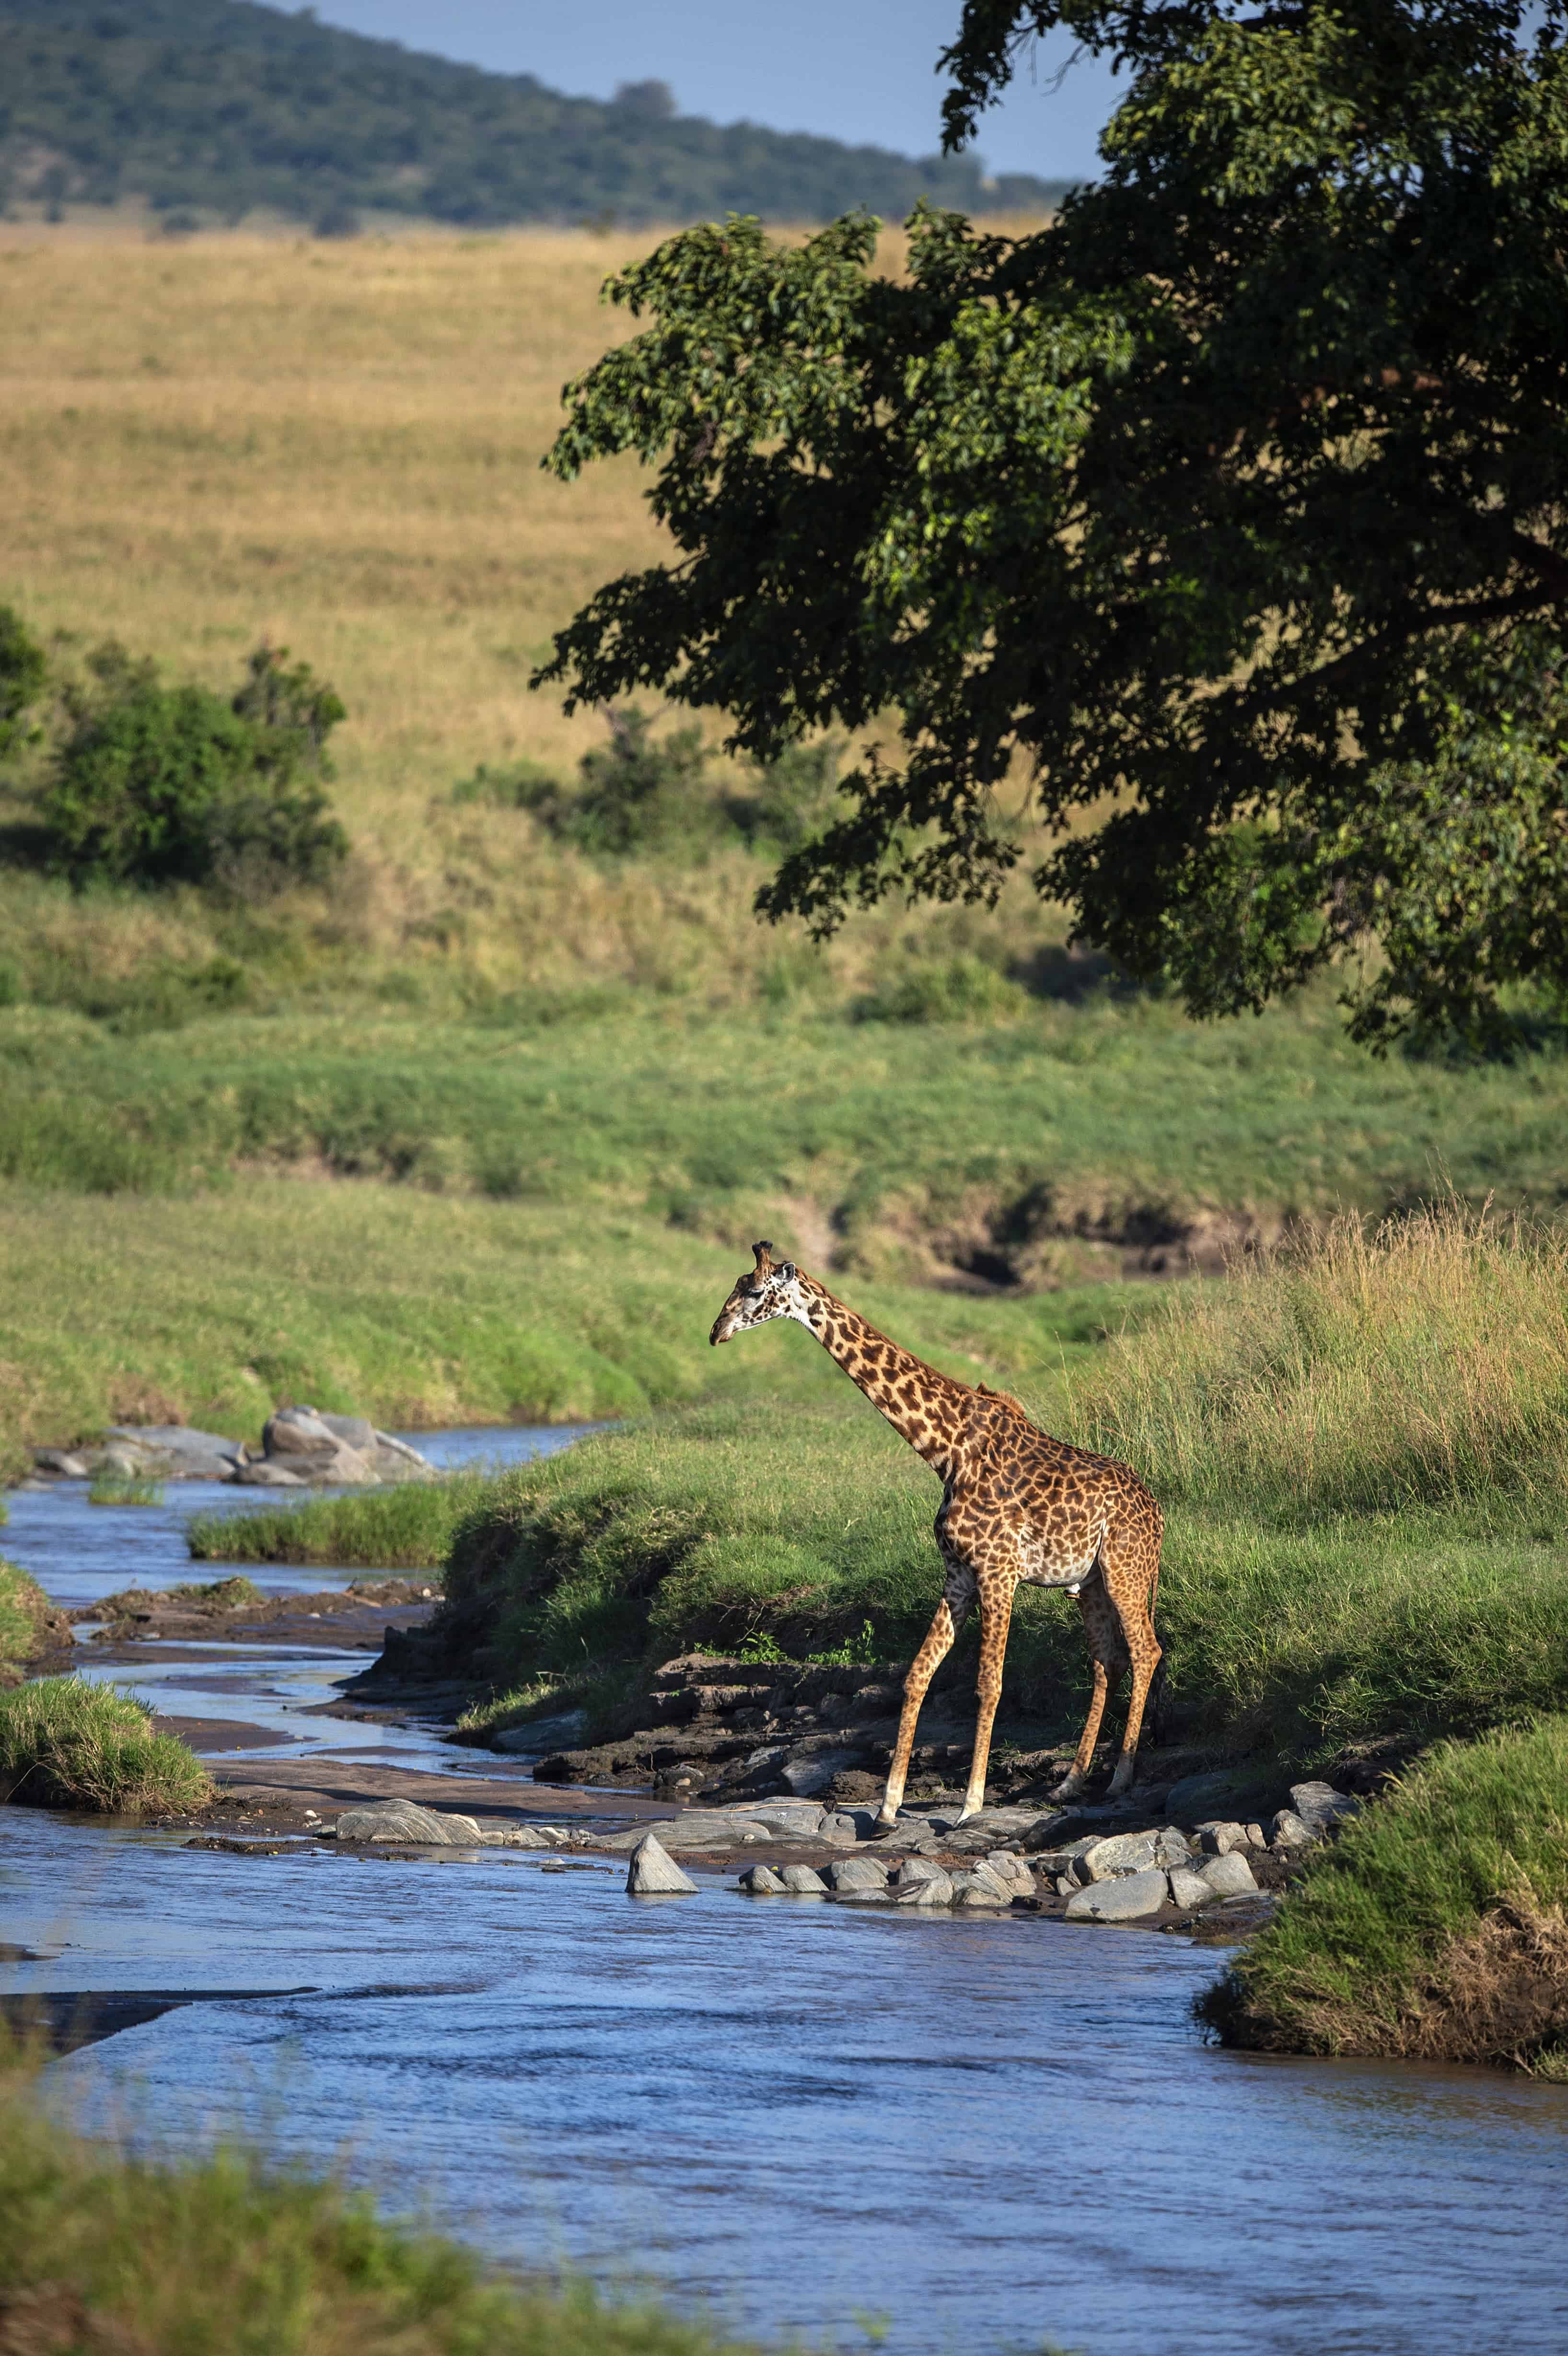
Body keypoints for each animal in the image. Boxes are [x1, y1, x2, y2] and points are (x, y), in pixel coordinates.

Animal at [710, 1242, 1164, 1826]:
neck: (944, 1451)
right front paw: (887, 1805)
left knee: (1146, 1651)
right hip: (1088, 1584)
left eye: (752, 1291)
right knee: (1106, 1660)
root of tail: (1158, 1513)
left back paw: (1120, 1779)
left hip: (1126, 1571)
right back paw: (1070, 1784)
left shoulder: (998, 1571)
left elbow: (989, 1684)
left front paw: (970, 1804)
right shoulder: (957, 1576)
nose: (716, 1331)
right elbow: (917, 1674)